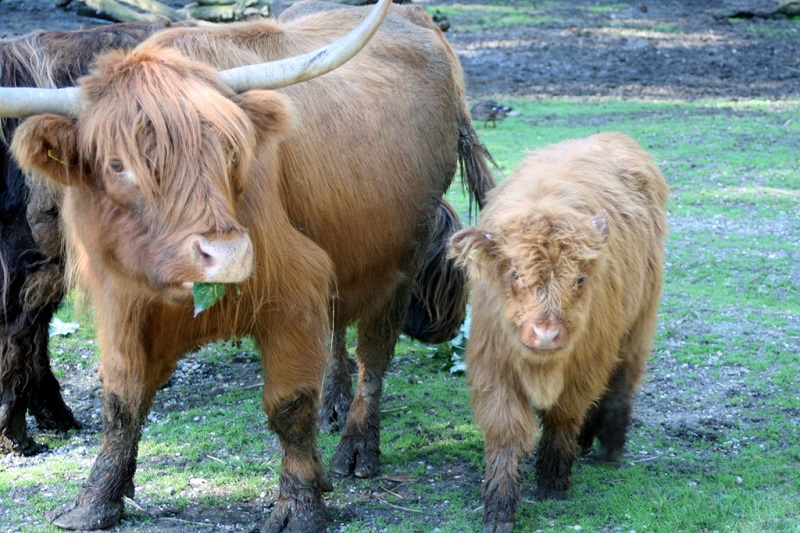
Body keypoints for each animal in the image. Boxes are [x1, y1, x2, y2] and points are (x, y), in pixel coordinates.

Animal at [450, 132, 668, 528]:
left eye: (579, 279)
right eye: (515, 274)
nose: (547, 334)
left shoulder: (585, 364)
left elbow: (563, 416)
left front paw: (552, 481)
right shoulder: (493, 366)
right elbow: (506, 430)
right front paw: (499, 507)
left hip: (638, 324)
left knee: (621, 381)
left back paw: (610, 448)